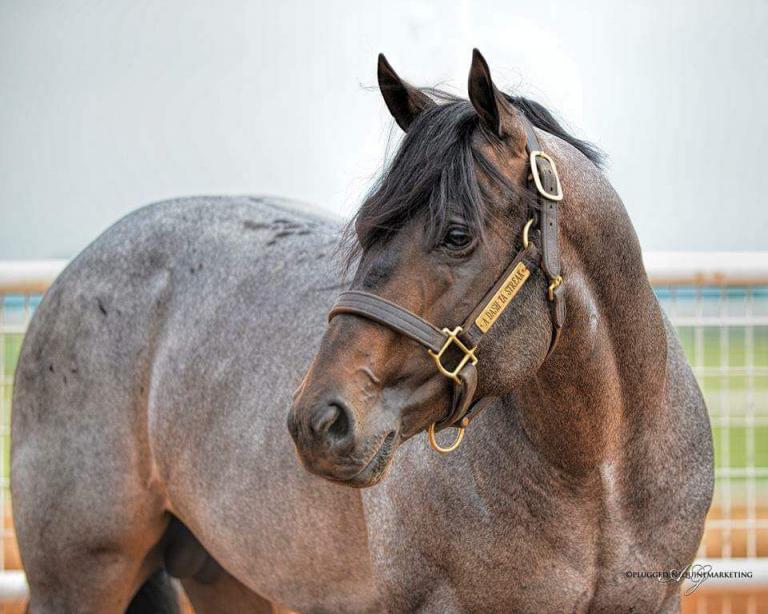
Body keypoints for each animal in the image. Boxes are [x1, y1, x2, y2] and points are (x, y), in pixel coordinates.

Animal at [10, 50, 713, 613]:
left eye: (457, 234)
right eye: (369, 230)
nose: (318, 422)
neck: (600, 475)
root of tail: (71, 276)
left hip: (223, 575)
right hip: (78, 579)